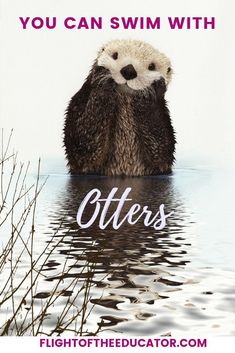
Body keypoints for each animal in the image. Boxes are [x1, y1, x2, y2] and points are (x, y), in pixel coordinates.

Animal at [63, 39, 175, 175]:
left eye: (152, 66)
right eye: (115, 55)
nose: (129, 71)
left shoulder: (163, 118)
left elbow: (161, 149)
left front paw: (149, 91)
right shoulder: (78, 104)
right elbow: (83, 144)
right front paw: (103, 78)